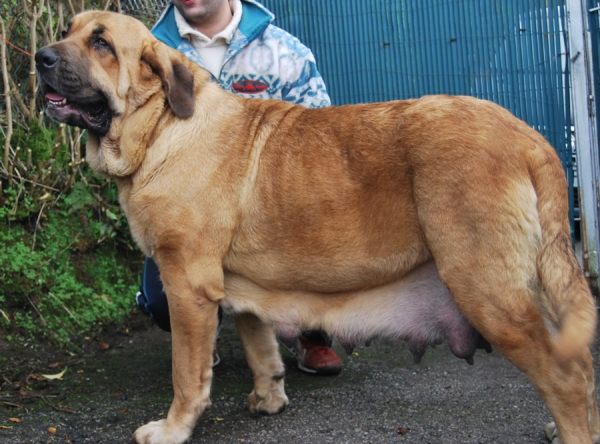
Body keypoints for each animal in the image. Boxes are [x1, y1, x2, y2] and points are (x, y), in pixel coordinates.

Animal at [36, 10, 600, 444]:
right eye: (68, 30)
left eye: (102, 43)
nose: (41, 58)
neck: (160, 128)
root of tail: (529, 136)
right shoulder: (238, 287)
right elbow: (259, 345)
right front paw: (268, 397)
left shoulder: (186, 282)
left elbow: (186, 372)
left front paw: (173, 429)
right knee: (582, 369)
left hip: (488, 290)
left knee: (566, 377)